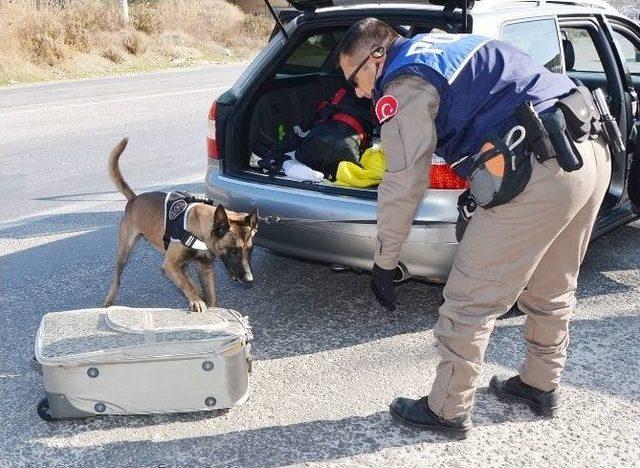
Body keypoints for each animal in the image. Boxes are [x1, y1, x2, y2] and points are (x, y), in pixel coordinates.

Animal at [102, 139, 258, 314]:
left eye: (250, 250)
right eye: (233, 250)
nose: (249, 280)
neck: (198, 228)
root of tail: (134, 199)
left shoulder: (205, 268)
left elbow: (209, 294)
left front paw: (209, 305)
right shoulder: (169, 265)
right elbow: (185, 284)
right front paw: (196, 300)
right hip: (124, 254)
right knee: (117, 279)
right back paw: (108, 301)